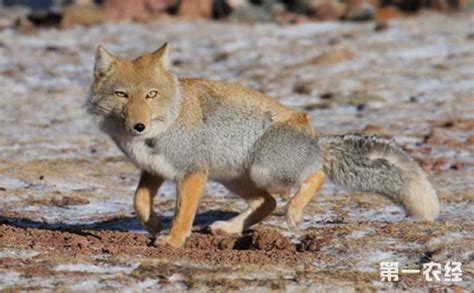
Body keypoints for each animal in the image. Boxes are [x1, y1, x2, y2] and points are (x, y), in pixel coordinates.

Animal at [86, 43, 440, 246]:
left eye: (151, 95)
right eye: (122, 95)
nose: (138, 126)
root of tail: (315, 138)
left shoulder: (192, 173)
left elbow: (182, 214)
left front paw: (173, 241)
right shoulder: (155, 171)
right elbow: (139, 201)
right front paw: (154, 224)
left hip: (264, 170)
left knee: (314, 176)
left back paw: (294, 211)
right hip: (235, 179)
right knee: (266, 202)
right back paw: (229, 229)